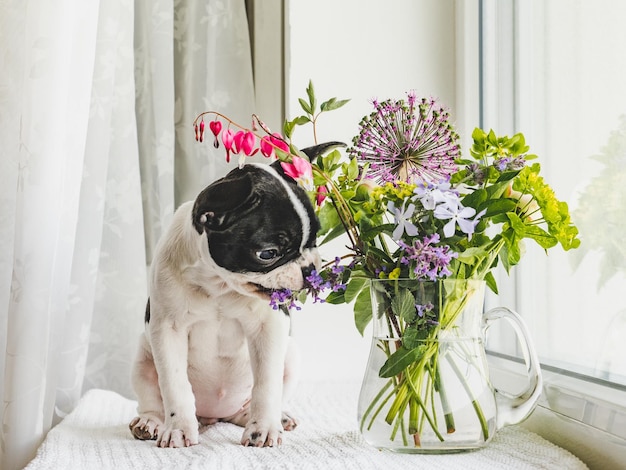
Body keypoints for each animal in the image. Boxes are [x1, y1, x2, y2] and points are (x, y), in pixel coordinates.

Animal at [126, 152, 322, 450]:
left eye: (315, 238)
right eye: (268, 253)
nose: (310, 269)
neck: (217, 284)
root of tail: (214, 417)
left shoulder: (269, 327)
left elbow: (267, 384)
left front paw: (264, 428)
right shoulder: (167, 331)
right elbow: (174, 384)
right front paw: (178, 429)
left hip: (291, 355)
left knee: (260, 399)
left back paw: (272, 417)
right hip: (142, 359)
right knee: (152, 401)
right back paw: (151, 423)